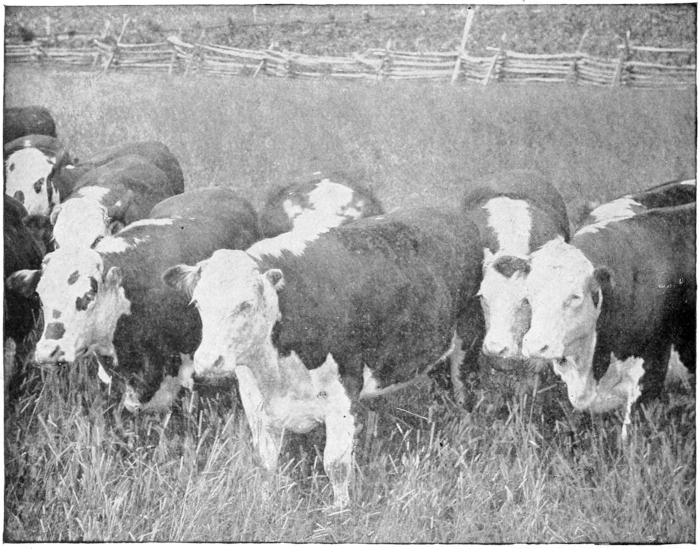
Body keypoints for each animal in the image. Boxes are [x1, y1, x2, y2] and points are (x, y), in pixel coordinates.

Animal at [162, 206, 483, 507]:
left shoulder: (342, 395)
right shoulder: (257, 404)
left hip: (468, 341)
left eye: (246, 304)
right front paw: (265, 502)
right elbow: (265, 463)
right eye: (198, 303)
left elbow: (336, 465)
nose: (208, 361)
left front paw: (340, 510)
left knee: (465, 398)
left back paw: (466, 442)